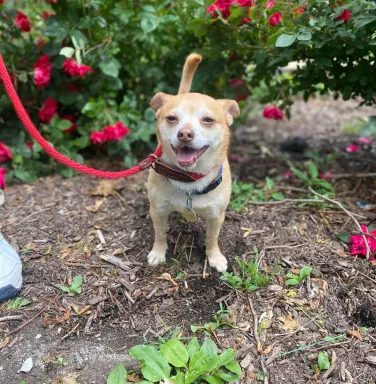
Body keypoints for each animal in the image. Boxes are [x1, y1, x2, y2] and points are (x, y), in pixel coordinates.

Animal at [145, 52, 239, 272]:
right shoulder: (158, 210)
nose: (185, 133)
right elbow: (160, 233)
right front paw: (158, 252)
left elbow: (212, 239)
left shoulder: (216, 216)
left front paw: (214, 257)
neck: (188, 178)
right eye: (172, 118)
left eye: (208, 120)